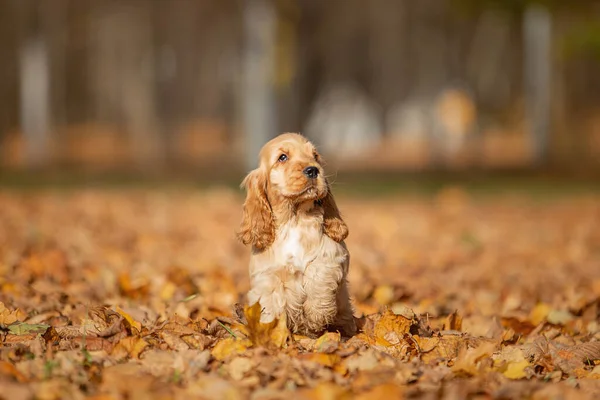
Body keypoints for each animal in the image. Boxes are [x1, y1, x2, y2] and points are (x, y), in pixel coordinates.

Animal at [239, 133, 356, 336]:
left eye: (315, 156)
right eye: (282, 157)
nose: (313, 170)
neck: (294, 219)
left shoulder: (331, 256)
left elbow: (318, 277)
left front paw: (316, 316)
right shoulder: (267, 276)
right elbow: (273, 303)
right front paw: (273, 333)